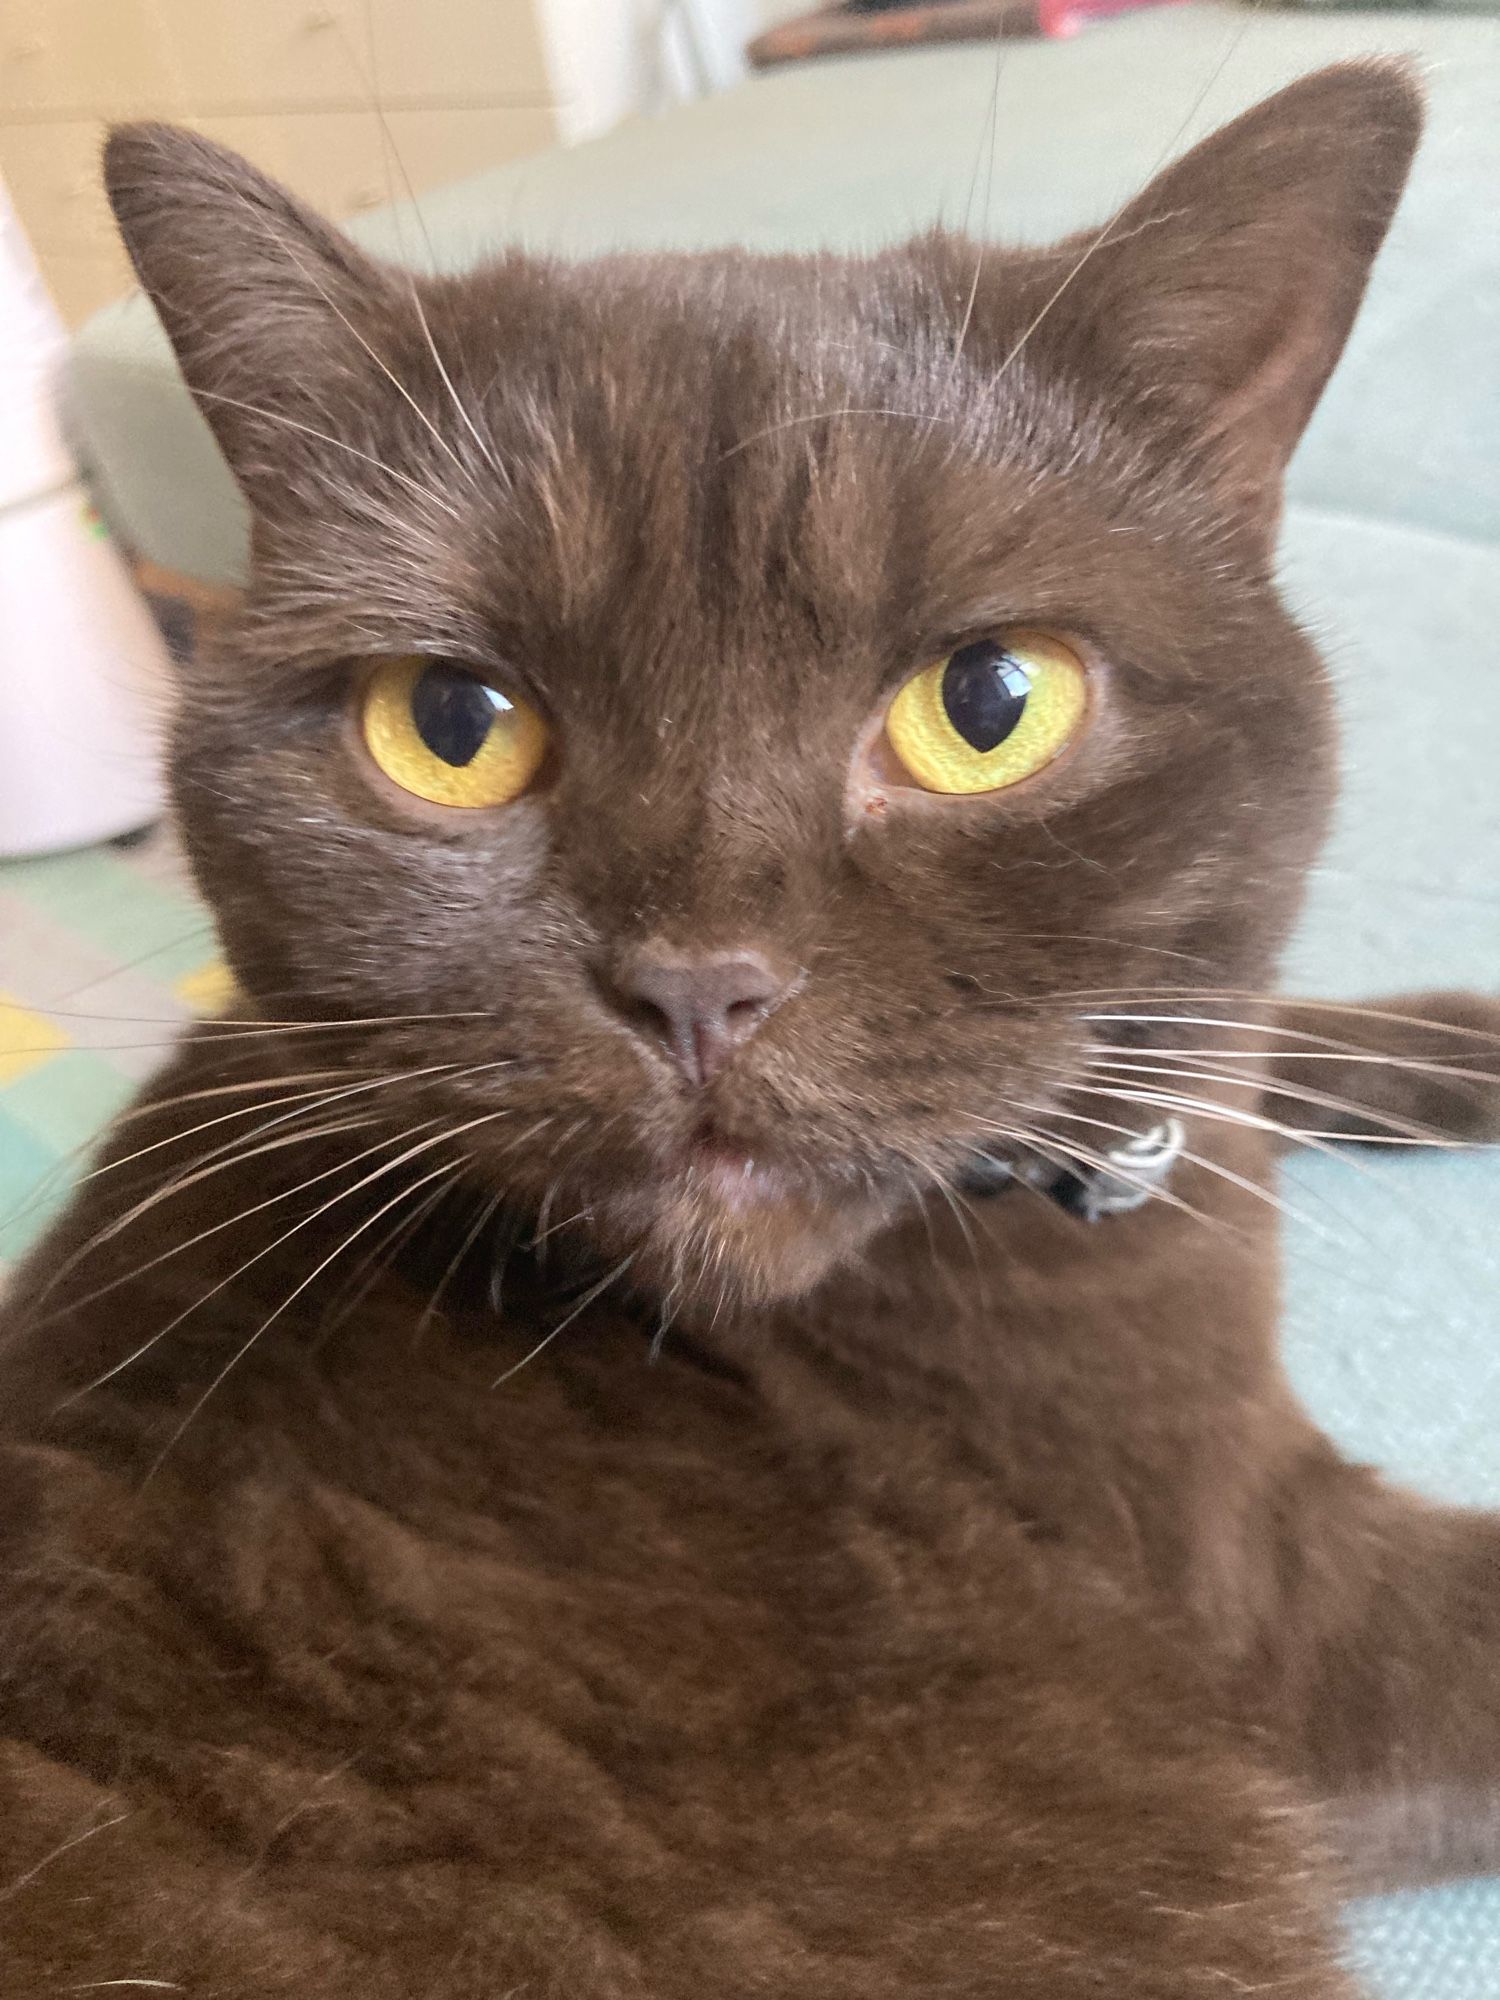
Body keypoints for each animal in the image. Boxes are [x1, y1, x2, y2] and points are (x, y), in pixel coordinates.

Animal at [2, 66, 1500, 2000]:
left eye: (990, 704)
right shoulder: (1258, 1590)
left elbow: (1234, 1020)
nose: (698, 982)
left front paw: (1456, 1043)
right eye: (451, 723)